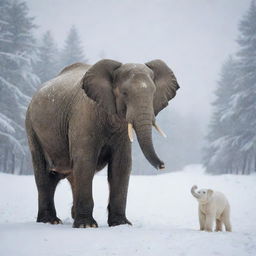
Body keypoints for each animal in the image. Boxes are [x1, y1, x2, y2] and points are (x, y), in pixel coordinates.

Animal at [25, 59, 178, 227]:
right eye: (124, 93)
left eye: (153, 93)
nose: (163, 165)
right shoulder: (83, 116)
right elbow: (85, 161)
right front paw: (86, 226)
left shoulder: (121, 130)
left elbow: (121, 165)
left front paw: (121, 224)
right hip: (32, 128)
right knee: (45, 175)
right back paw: (50, 221)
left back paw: (69, 216)